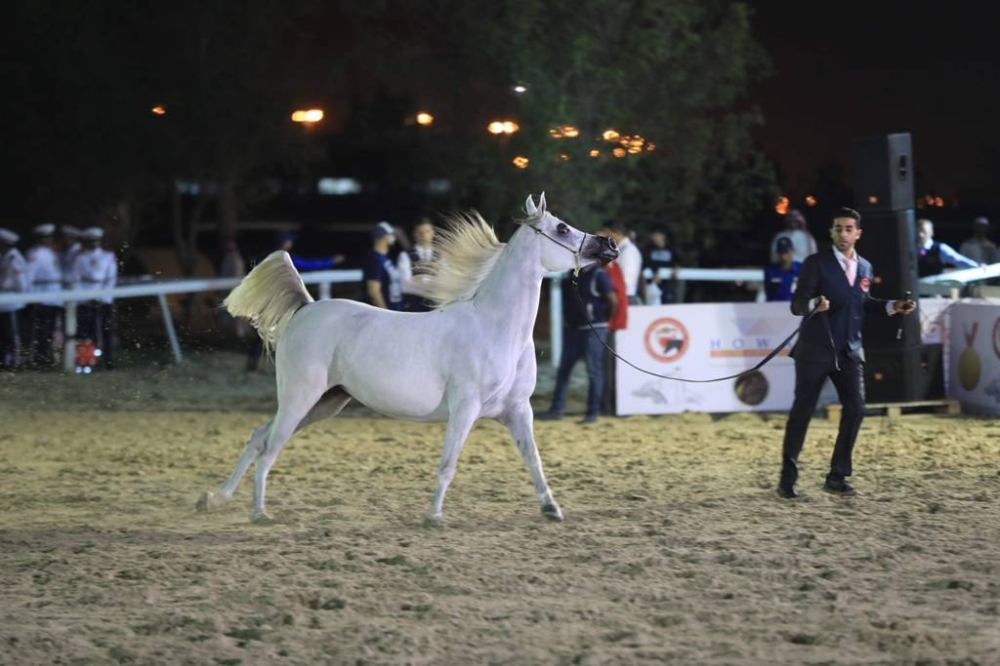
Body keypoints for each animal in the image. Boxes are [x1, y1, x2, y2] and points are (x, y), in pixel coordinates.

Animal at [195, 195, 616, 520]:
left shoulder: (518, 410)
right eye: (561, 228)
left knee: (258, 437)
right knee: (269, 447)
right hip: (300, 397)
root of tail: (306, 307)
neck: (496, 328)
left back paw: (215, 499)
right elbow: (448, 465)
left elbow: (534, 461)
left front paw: (552, 509)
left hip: (324, 403)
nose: (609, 245)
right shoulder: (465, 408)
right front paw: (434, 516)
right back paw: (258, 513)